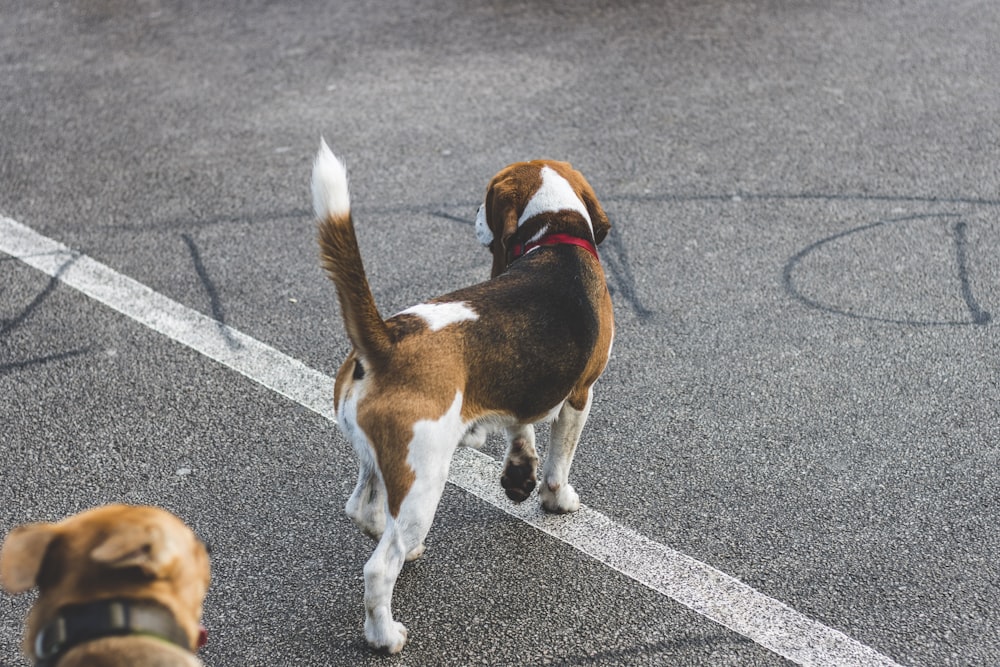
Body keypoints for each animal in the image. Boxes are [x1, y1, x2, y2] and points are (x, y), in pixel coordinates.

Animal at [310, 138, 608, 656]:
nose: (472, 216)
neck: (556, 234)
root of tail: (388, 340)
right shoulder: (580, 394)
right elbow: (560, 459)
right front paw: (557, 498)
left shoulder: (520, 389)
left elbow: (521, 426)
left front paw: (519, 475)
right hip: (425, 479)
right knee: (378, 568)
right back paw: (384, 635)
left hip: (382, 463)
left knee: (363, 511)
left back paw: (403, 548)